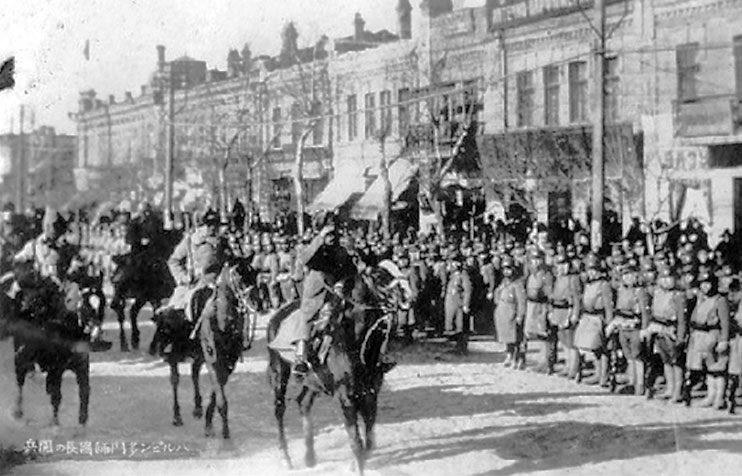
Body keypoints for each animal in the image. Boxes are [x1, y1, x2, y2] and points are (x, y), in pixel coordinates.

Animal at [150, 260, 258, 438]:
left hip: (199, 356)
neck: (223, 320)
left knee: (194, 373)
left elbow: (217, 389)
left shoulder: (229, 362)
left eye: (255, 274)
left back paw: (197, 408)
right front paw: (224, 430)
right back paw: (177, 416)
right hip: (174, 353)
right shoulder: (213, 359)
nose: (256, 304)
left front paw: (208, 422)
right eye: (240, 276)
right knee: (175, 379)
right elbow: (219, 394)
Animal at [266, 266, 406, 474]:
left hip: (312, 380)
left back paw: (310, 457)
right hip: (278, 369)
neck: (354, 341)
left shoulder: (371, 394)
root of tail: (277, 316)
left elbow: (369, 442)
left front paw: (354, 464)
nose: (406, 295)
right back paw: (286, 458)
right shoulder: (346, 397)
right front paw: (357, 466)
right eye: (379, 276)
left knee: (303, 403)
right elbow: (356, 442)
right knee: (279, 409)